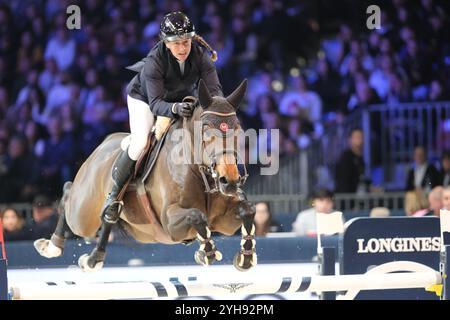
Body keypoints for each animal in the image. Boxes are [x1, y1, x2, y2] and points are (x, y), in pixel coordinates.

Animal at [34, 80, 256, 272]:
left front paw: (245, 257)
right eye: (206, 129)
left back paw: (93, 258)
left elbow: (248, 210)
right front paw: (206, 253)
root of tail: (104, 143)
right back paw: (52, 246)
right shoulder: (169, 224)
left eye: (238, 128)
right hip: (83, 214)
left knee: (107, 218)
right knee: (69, 195)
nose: (229, 181)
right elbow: (196, 215)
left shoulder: (223, 223)